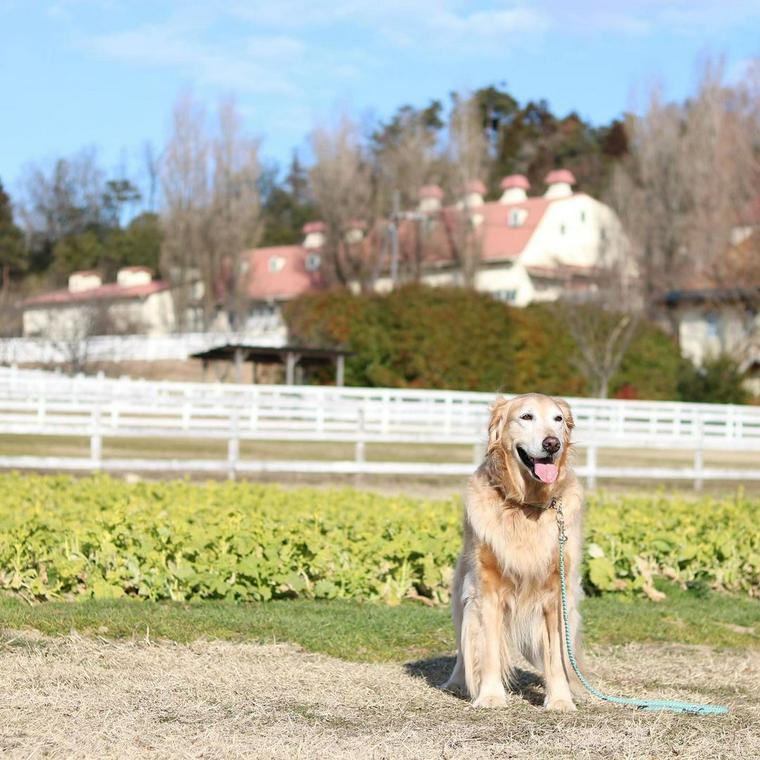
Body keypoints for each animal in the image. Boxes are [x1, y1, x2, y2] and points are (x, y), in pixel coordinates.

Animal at [442, 394, 584, 708]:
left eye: (558, 419)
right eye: (526, 417)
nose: (552, 443)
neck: (525, 506)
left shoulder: (556, 594)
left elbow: (556, 655)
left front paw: (560, 700)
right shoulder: (486, 590)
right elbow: (488, 649)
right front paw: (491, 696)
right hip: (461, 594)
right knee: (463, 646)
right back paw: (456, 683)